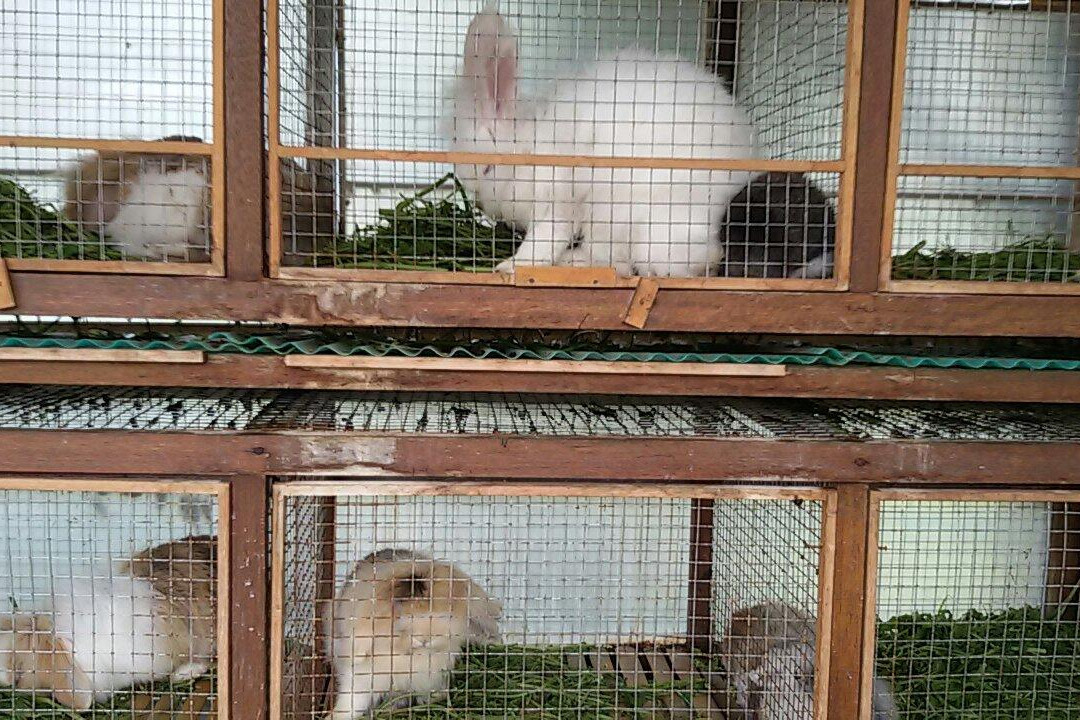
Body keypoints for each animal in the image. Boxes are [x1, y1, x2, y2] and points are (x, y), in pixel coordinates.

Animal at [322, 548, 502, 719]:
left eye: (446, 613)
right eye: (400, 612)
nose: (424, 639)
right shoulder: (362, 676)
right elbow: (352, 701)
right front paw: (334, 716)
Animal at [444, 7, 759, 278]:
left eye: (487, 169)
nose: (483, 206)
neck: (530, 148)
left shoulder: (557, 202)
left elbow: (544, 240)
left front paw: (510, 266)